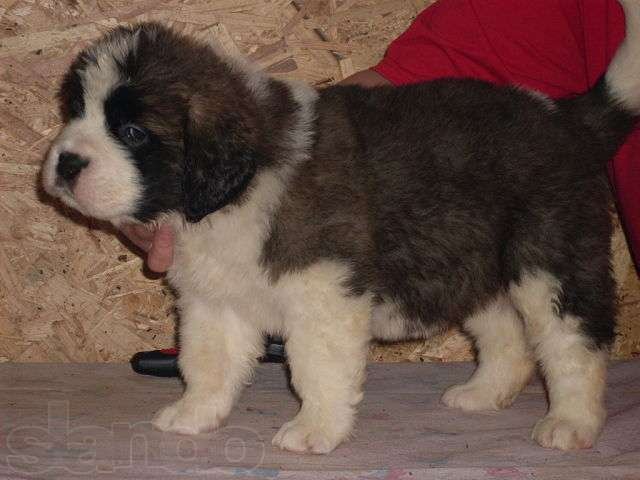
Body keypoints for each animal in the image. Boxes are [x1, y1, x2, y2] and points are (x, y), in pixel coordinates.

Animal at [42, 0, 636, 454]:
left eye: (133, 132)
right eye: (75, 110)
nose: (65, 163)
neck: (236, 188)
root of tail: (565, 118)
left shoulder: (322, 288)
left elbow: (316, 366)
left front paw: (314, 430)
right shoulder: (214, 299)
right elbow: (207, 360)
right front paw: (194, 415)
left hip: (550, 258)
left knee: (573, 343)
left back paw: (571, 422)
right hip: (472, 261)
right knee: (507, 335)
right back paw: (483, 394)